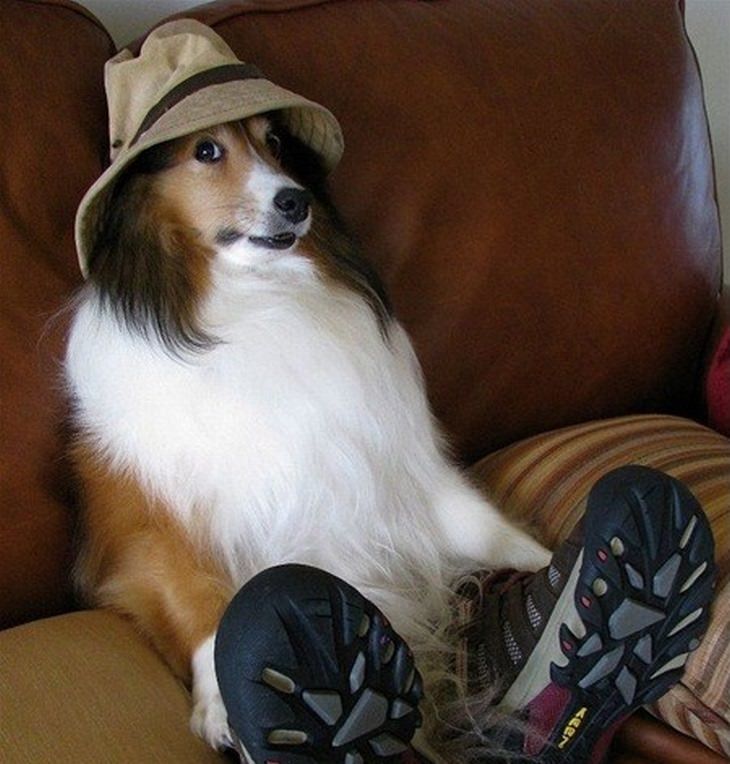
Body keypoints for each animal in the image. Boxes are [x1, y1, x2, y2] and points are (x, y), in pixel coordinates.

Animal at [65, 115, 548, 760]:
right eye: (206, 149)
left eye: (273, 142)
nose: (295, 201)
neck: (256, 303)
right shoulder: (144, 523)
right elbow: (197, 598)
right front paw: (221, 703)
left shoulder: (397, 472)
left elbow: (489, 531)